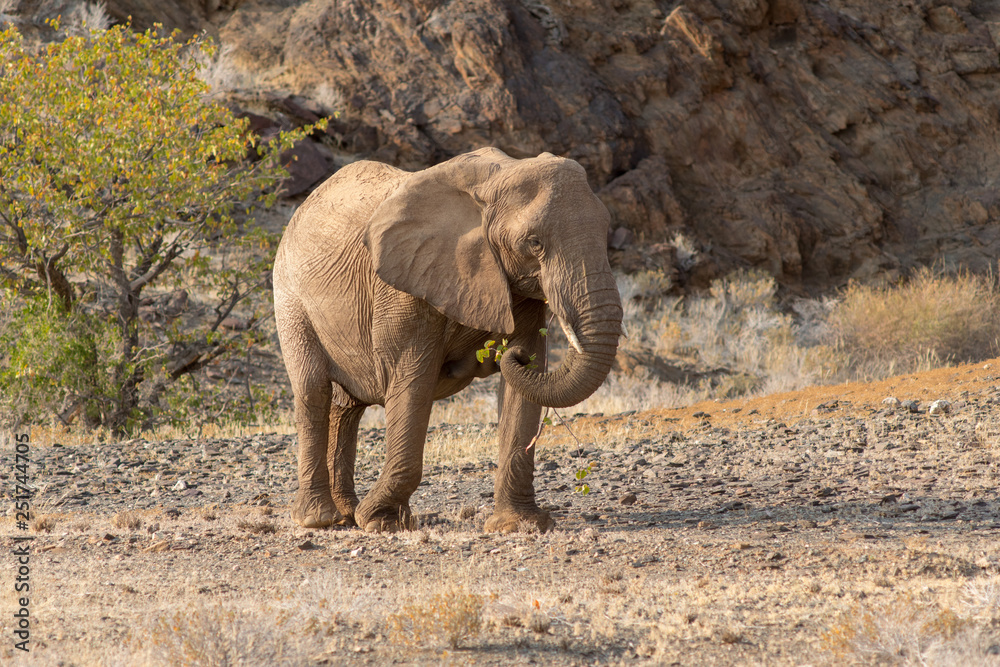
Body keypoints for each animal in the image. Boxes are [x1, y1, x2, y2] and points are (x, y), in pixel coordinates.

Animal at [272, 147, 623, 533]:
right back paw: (320, 519)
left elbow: (522, 388)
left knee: (347, 405)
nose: (508, 354)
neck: (495, 181)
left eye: (606, 231)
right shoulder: (404, 287)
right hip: (290, 296)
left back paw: (347, 514)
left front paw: (518, 526)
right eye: (534, 243)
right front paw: (381, 522)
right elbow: (413, 381)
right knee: (314, 389)